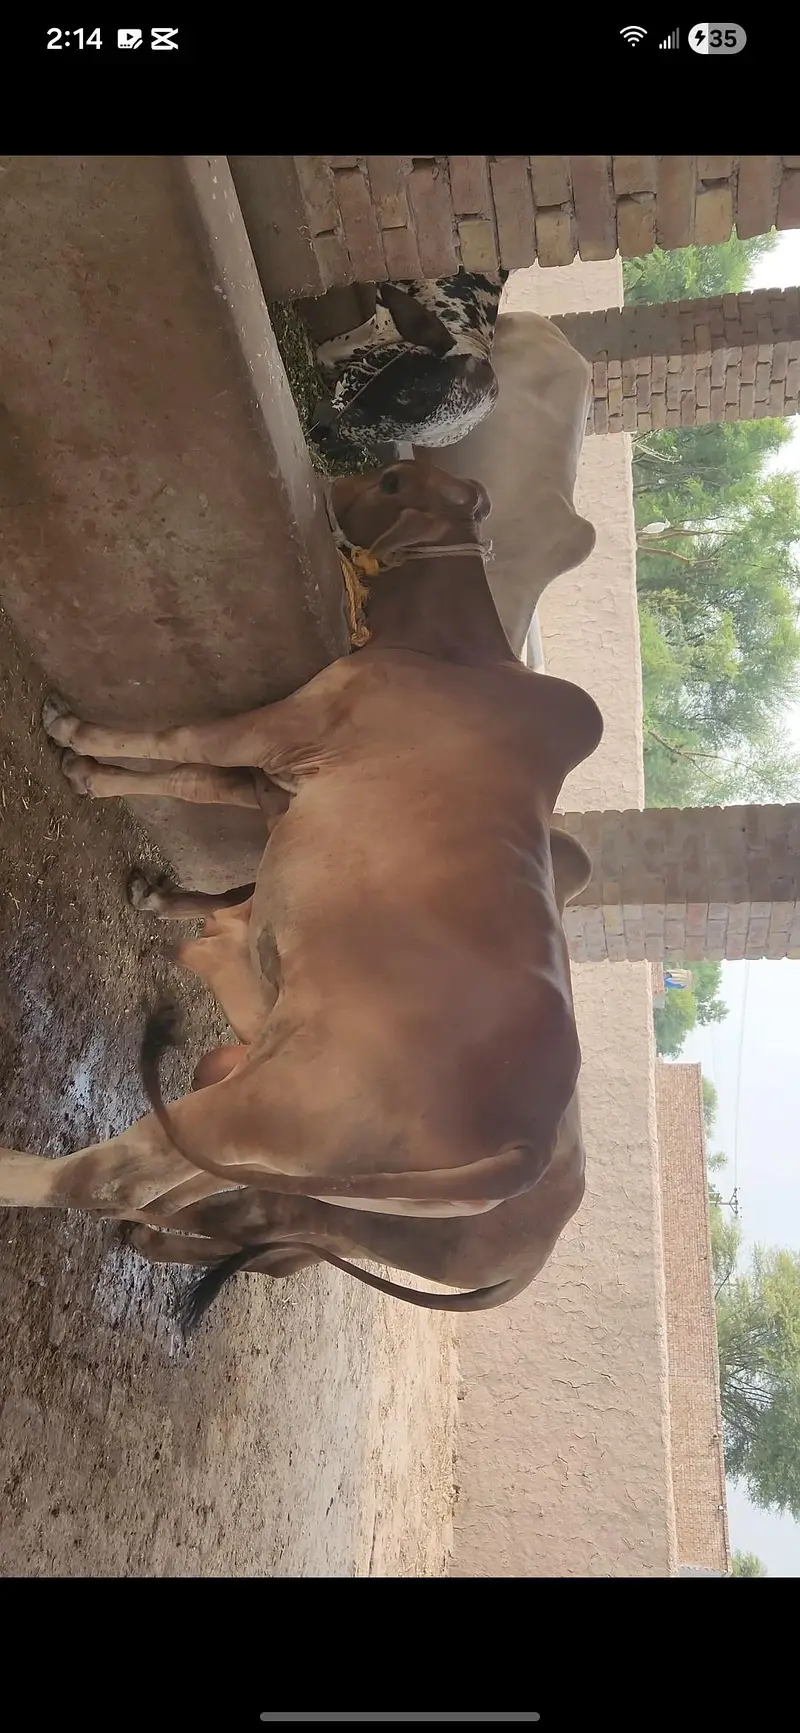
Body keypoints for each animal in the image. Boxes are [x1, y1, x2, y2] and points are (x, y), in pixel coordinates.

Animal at [0, 458, 603, 1321]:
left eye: (392, 481)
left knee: (117, 1180)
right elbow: (199, 778)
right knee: (174, 1192)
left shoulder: (282, 727)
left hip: (268, 1114)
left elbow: (184, 740)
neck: (454, 651)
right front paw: (97, 781)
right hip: (273, 1144)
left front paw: (77, 737)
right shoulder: (283, 771)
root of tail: (524, 1146)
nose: (331, 477)